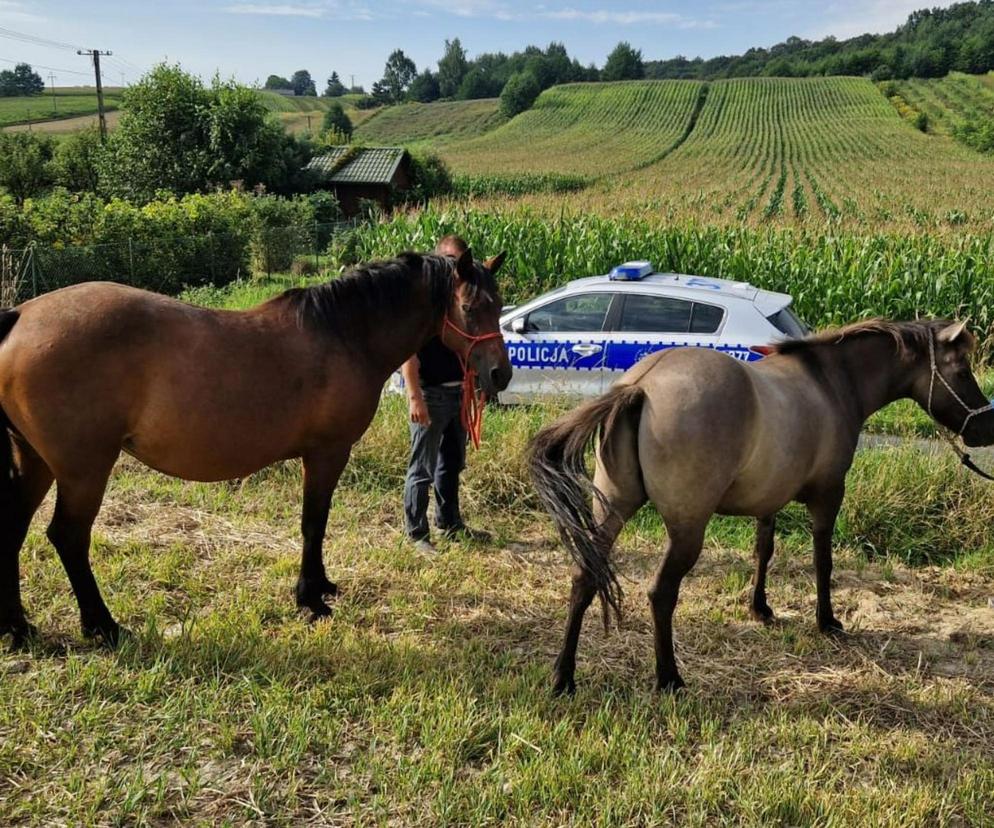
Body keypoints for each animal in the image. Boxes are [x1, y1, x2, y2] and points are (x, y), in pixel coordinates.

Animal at [0, 251, 508, 648]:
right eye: (469, 306)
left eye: (499, 303)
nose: (499, 374)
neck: (345, 335)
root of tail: (21, 315)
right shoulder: (327, 453)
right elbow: (313, 524)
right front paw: (310, 598)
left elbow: (316, 525)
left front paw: (321, 587)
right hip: (84, 469)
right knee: (68, 537)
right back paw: (103, 627)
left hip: (37, 462)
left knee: (15, 529)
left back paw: (18, 629)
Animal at [532, 320, 992, 696]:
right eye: (961, 369)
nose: (985, 430)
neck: (831, 382)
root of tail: (641, 385)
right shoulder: (829, 496)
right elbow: (823, 561)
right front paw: (827, 621)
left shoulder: (768, 499)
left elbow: (762, 552)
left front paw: (760, 608)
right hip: (686, 529)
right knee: (661, 593)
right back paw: (669, 678)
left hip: (612, 510)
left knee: (584, 578)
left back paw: (562, 677)